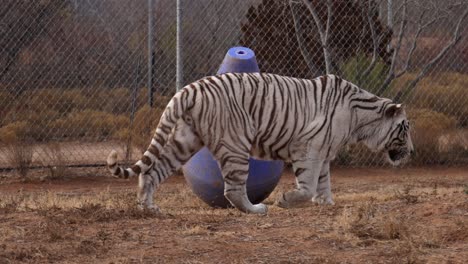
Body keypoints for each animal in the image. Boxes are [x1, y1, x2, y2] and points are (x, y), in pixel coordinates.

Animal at [106, 73, 414, 213]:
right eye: (405, 129)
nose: (412, 151)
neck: (360, 118)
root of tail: (189, 89)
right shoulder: (309, 149)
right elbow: (307, 185)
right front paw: (288, 200)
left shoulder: (323, 152)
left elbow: (324, 182)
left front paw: (326, 203)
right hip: (235, 146)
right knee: (233, 189)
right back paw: (256, 210)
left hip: (183, 142)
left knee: (151, 172)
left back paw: (148, 207)